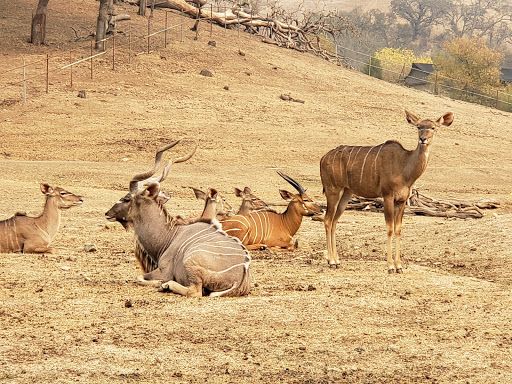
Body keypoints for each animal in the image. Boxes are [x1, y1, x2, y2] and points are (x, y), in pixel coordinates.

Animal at [105, 140, 250, 296]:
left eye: (126, 199)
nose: (108, 213)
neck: (171, 234)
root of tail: (240, 278)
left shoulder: (164, 271)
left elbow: (139, 277)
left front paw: (161, 283)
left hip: (190, 261)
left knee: (194, 291)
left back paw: (166, 286)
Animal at [322, 110, 454, 272]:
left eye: (433, 127)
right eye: (418, 127)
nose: (423, 139)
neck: (404, 168)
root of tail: (323, 158)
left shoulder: (402, 200)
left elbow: (398, 229)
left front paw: (399, 266)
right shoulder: (388, 196)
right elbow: (390, 228)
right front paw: (391, 266)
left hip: (346, 193)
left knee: (335, 221)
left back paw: (337, 260)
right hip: (332, 190)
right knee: (328, 220)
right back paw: (331, 261)